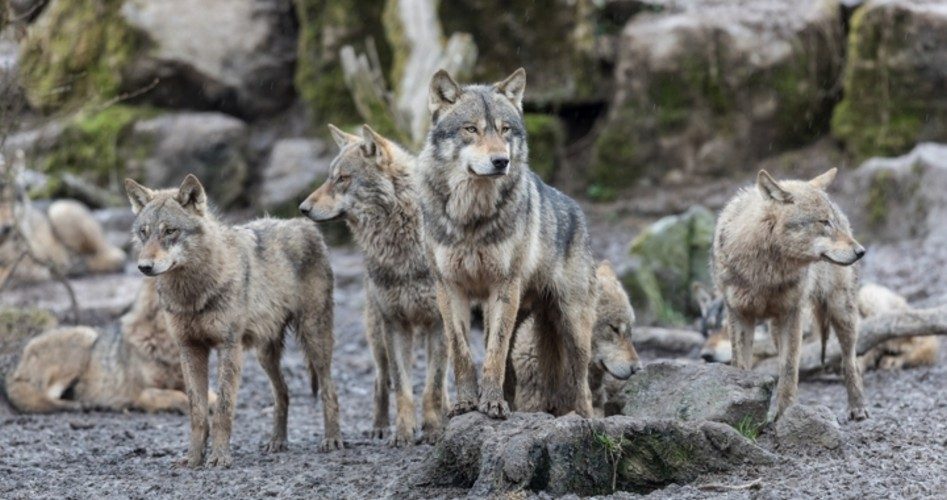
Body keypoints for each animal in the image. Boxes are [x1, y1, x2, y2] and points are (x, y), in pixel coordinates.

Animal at [5, 277, 216, 414]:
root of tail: (12, 365)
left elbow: (210, 396)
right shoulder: (141, 393)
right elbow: (177, 396)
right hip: (86, 336)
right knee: (47, 397)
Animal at [124, 174, 340, 468]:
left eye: (170, 231)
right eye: (144, 232)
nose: (144, 267)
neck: (193, 293)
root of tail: (304, 224)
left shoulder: (229, 347)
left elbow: (223, 407)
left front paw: (219, 457)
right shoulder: (190, 349)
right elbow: (197, 410)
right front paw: (193, 458)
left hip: (314, 339)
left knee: (330, 389)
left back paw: (332, 440)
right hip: (264, 354)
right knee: (283, 393)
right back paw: (277, 442)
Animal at [299, 124, 448, 447]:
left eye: (343, 178)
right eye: (330, 177)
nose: (302, 208)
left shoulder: (440, 323)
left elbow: (432, 387)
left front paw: (433, 430)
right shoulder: (395, 323)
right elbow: (402, 388)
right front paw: (402, 433)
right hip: (377, 332)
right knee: (382, 379)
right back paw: (380, 427)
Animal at [418, 68, 599, 418]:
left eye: (504, 130)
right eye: (471, 129)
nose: (501, 161)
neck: (471, 218)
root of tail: (578, 211)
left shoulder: (502, 286)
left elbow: (494, 352)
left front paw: (490, 403)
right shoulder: (449, 287)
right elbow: (462, 352)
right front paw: (465, 404)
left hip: (572, 326)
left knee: (581, 384)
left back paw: (583, 419)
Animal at [712, 168, 868, 422]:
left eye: (833, 222)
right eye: (824, 222)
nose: (861, 251)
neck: (766, 273)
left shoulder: (791, 315)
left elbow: (788, 371)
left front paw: (785, 416)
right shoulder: (739, 315)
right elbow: (740, 365)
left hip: (842, 312)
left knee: (850, 360)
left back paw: (857, 407)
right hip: (776, 329)